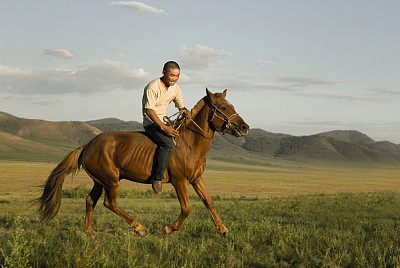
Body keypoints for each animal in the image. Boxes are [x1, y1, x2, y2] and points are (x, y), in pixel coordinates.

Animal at [38, 89, 250, 236]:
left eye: (232, 106)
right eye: (223, 108)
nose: (244, 127)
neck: (190, 143)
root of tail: (88, 145)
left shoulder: (196, 179)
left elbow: (209, 202)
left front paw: (223, 229)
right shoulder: (180, 181)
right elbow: (186, 209)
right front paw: (167, 229)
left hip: (100, 181)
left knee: (91, 200)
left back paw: (90, 231)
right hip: (111, 181)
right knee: (109, 202)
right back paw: (138, 227)